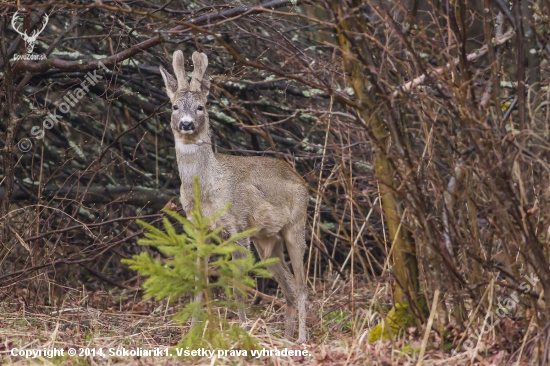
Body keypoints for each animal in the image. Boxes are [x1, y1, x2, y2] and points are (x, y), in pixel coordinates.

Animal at [160, 50, 310, 342]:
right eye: (174, 106)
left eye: (201, 106)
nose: (186, 124)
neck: (208, 191)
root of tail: (300, 179)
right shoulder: (200, 231)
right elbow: (200, 282)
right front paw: (192, 334)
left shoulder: (239, 227)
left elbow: (239, 284)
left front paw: (243, 330)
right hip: (267, 240)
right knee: (287, 286)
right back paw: (286, 339)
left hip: (296, 226)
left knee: (301, 285)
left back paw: (301, 339)